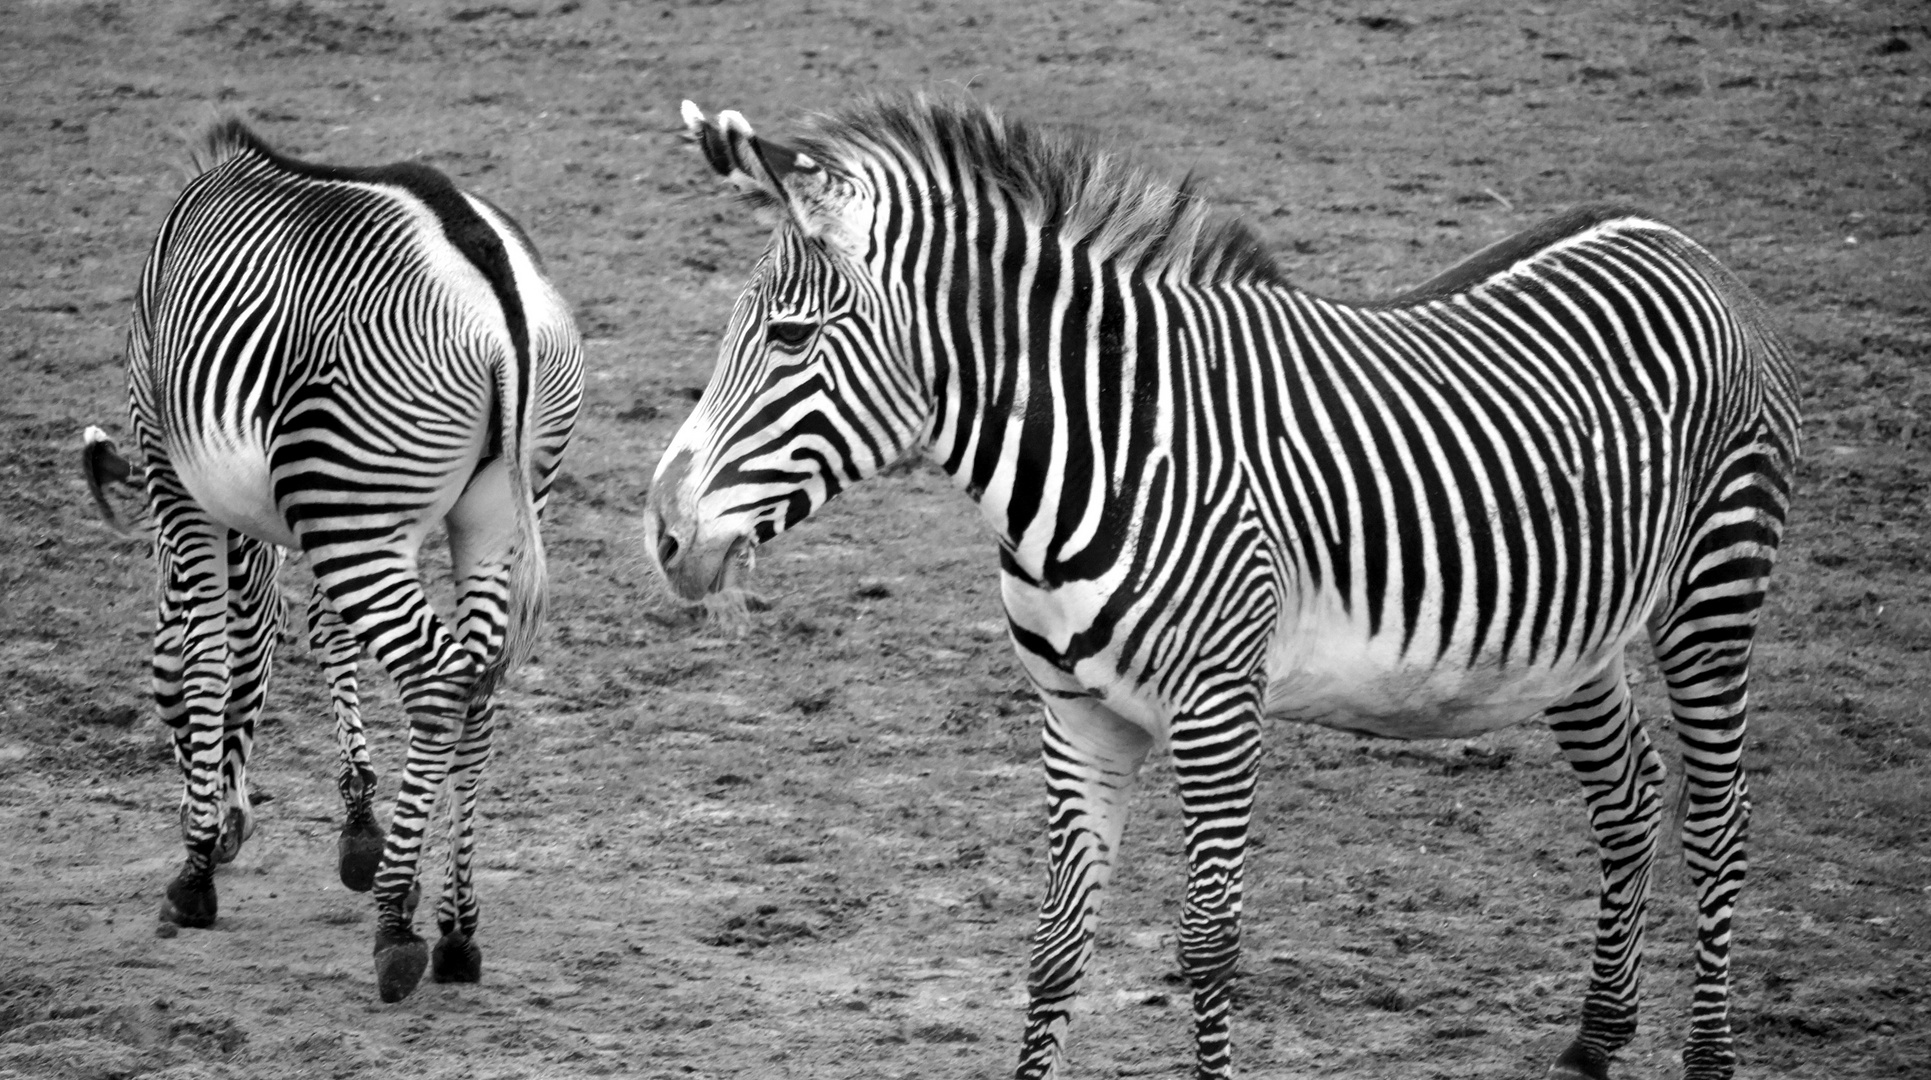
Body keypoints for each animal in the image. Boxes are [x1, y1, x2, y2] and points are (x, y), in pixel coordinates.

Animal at [107, 118, 579, 1004]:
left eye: (159, 701)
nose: (234, 835)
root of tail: (485, 265)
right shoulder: (320, 513)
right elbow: (325, 638)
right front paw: (362, 831)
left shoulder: (173, 479)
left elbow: (210, 658)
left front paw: (196, 873)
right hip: (487, 511)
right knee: (477, 688)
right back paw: (456, 930)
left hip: (359, 509)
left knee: (437, 680)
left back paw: (395, 929)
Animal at [656, 95, 1799, 1080]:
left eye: (789, 337)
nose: (662, 534)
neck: (1110, 447)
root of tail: (1673, 239)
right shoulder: (1077, 713)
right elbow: (1055, 944)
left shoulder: (1217, 709)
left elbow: (1207, 945)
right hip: (1573, 630)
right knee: (1628, 797)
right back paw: (1593, 1042)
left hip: (1713, 589)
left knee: (1718, 816)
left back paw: (1705, 1056)